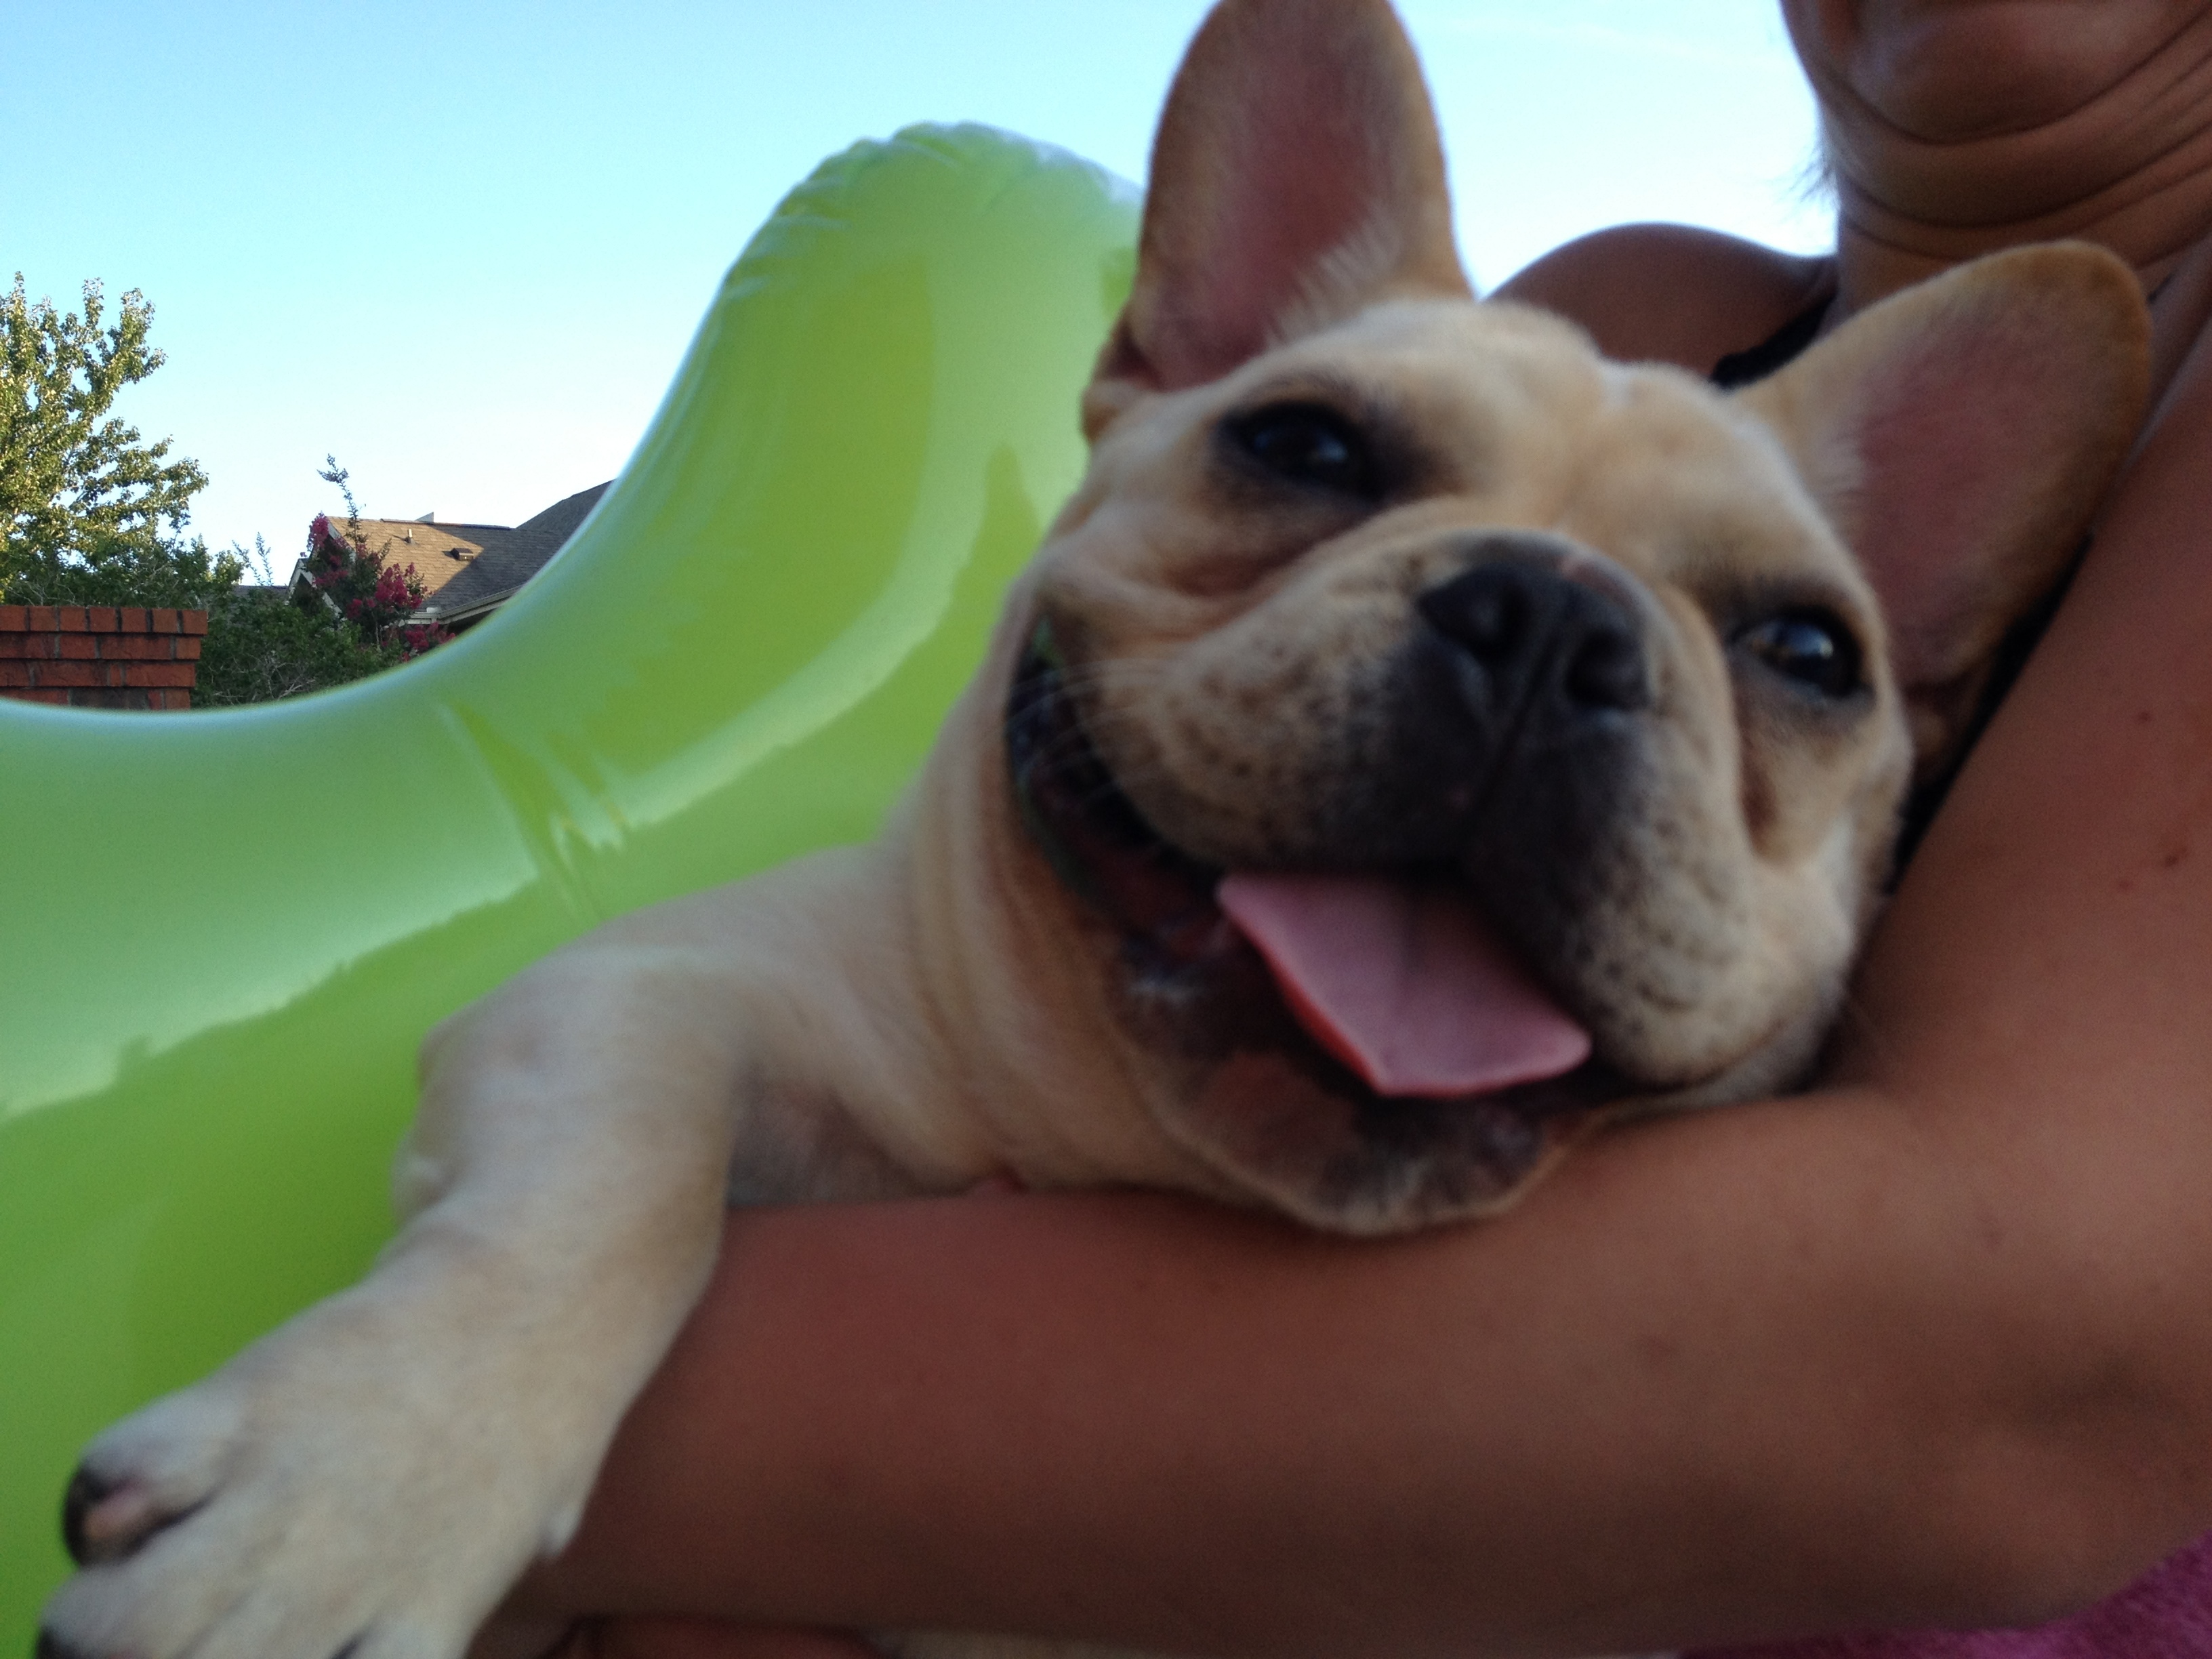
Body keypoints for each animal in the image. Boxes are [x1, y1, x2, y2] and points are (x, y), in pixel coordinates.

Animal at [41, 2, 2149, 1656]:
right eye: (1302, 445)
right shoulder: (637, 990)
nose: (1553, 617)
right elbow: (602, 1192)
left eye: (1808, 653)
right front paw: (349, 1494)